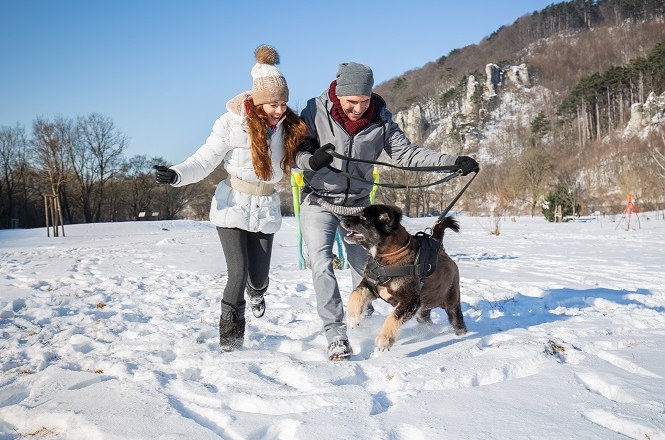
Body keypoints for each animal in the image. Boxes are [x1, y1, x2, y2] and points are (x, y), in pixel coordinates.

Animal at [342, 205, 466, 352]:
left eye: (363, 218)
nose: (342, 218)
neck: (389, 258)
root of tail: (442, 250)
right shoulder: (371, 286)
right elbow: (356, 293)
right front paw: (352, 318)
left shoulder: (411, 301)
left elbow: (394, 316)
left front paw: (384, 340)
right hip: (423, 310)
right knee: (426, 321)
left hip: (452, 302)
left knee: (458, 321)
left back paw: (463, 338)